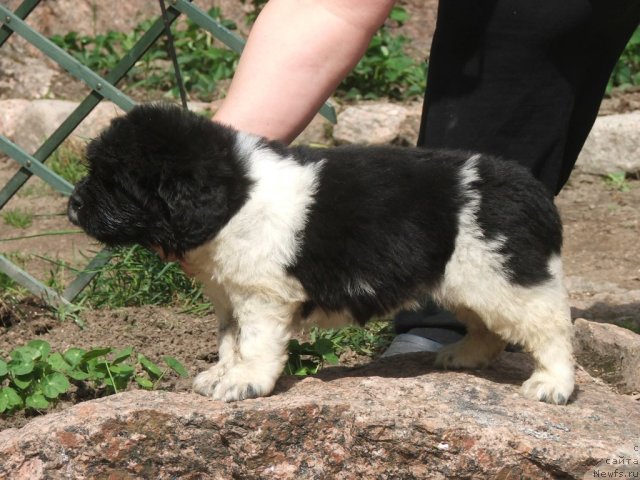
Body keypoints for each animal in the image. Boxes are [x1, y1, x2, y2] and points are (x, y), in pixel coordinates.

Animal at [69, 103, 576, 404]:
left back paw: (553, 385)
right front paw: (222, 373)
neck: (234, 195)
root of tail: (531, 188)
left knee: (550, 328)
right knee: (488, 328)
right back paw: (464, 356)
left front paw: (244, 382)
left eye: (116, 183)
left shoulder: (262, 296)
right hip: (466, 281)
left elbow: (254, 343)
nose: (73, 206)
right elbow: (230, 340)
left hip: (503, 276)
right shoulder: (230, 295)